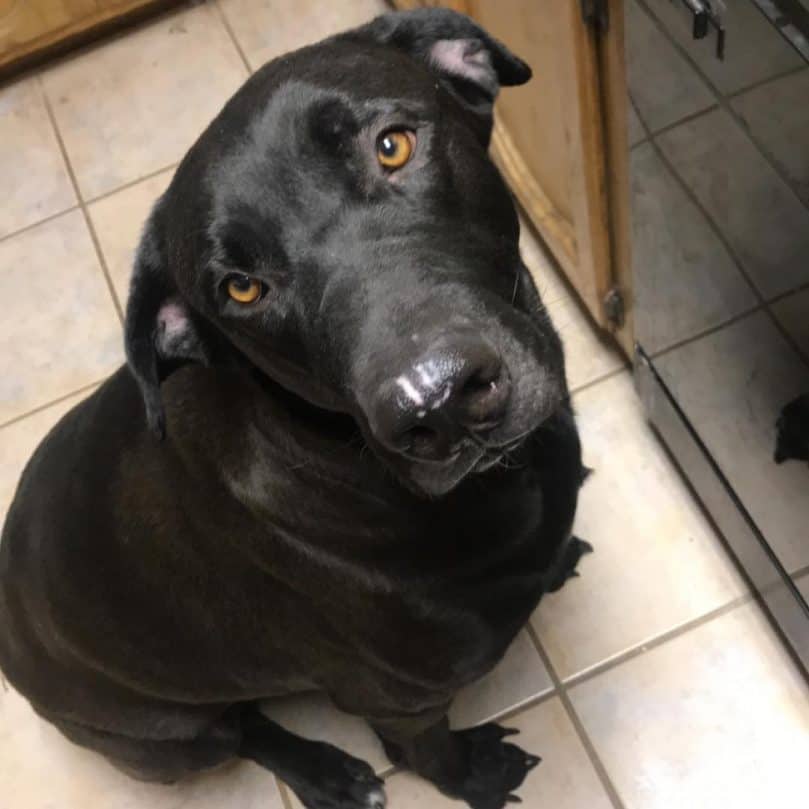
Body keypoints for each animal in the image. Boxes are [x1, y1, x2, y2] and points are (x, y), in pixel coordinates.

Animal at [0, 11, 588, 808]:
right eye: (241, 288)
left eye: (392, 146)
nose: (436, 404)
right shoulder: (396, 698)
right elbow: (426, 750)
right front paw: (475, 775)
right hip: (167, 736)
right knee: (241, 729)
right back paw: (327, 774)